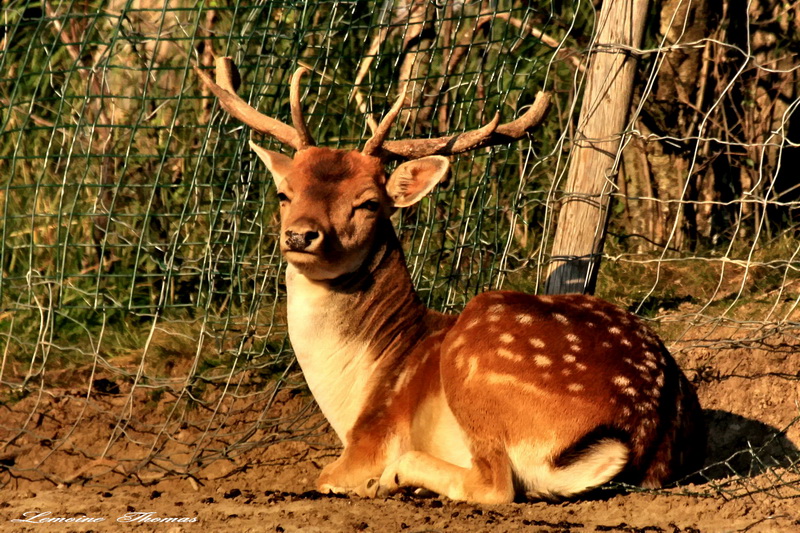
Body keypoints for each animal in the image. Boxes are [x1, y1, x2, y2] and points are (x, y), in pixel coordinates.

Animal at [197, 58, 704, 502]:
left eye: (368, 202)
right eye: (284, 193)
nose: (301, 234)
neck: (353, 387)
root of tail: (642, 426)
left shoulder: (371, 438)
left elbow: (325, 476)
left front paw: (373, 481)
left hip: (479, 357)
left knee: (496, 485)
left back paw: (395, 481)